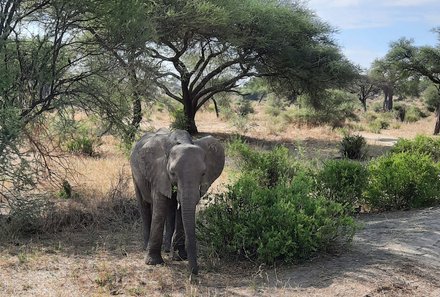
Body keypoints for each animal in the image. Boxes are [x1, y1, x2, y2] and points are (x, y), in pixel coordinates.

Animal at [127, 128, 223, 274]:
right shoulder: (159, 173)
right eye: (172, 173)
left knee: (171, 208)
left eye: (203, 173)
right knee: (144, 205)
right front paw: (153, 263)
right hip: (135, 173)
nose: (194, 272)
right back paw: (146, 246)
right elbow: (160, 208)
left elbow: (182, 207)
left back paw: (167, 249)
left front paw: (179, 257)